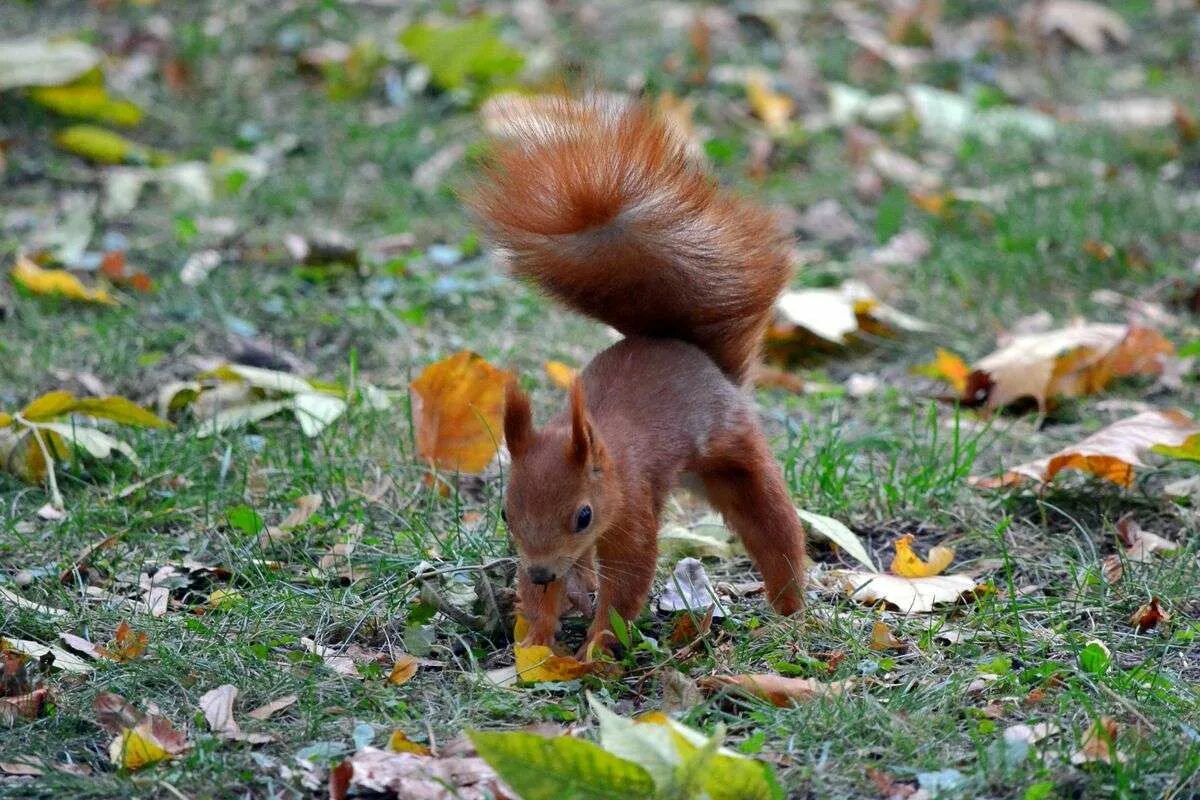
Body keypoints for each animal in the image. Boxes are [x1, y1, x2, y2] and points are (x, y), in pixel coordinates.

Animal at [468, 94, 806, 657]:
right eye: (504, 514)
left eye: (583, 515)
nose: (539, 572)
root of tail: (699, 357)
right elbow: (550, 595)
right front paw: (536, 643)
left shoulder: (631, 510)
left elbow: (627, 582)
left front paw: (596, 651)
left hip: (732, 452)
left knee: (771, 525)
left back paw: (790, 608)